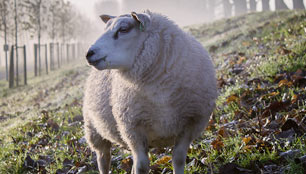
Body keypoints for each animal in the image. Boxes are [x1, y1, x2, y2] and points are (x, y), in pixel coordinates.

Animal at [83, 10, 218, 174]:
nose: (89, 53)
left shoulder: (190, 123)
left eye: (123, 29)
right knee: (103, 159)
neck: (160, 94)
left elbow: (178, 159)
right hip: (94, 130)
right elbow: (141, 166)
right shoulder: (132, 129)